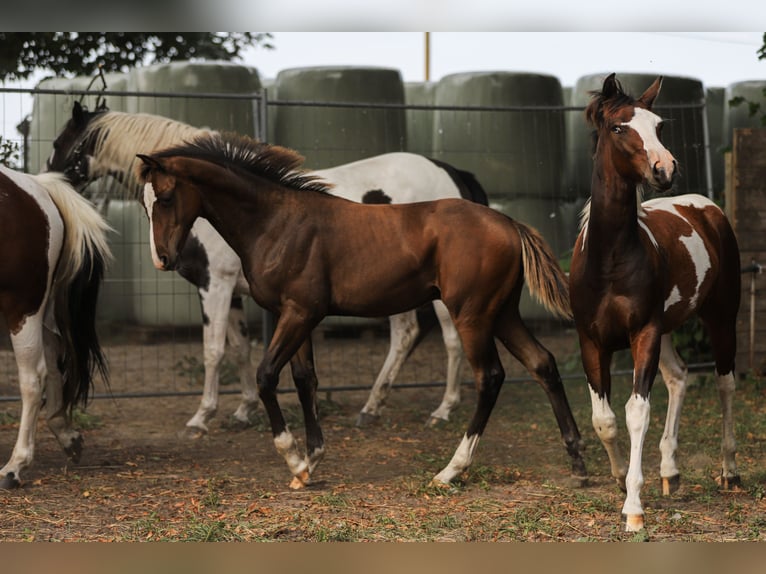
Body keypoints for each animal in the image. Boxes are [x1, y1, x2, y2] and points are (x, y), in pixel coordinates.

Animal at [0, 164, 112, 488]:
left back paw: (14, 466)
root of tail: (36, 186)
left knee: (33, 378)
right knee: (52, 359)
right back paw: (66, 434)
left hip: (23, 307)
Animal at [135, 134, 588, 490]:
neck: (276, 222)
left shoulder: (298, 313)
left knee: (489, 376)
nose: (163, 259)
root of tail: (511, 224)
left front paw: (293, 458)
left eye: (168, 197)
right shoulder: (295, 314)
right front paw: (311, 461)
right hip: (503, 313)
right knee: (542, 363)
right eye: (144, 204)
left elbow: (266, 376)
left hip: (472, 315)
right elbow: (305, 379)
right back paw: (578, 462)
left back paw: (451, 468)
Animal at [568, 74, 744, 532]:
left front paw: (633, 507)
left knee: (725, 383)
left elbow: (636, 413)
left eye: (659, 125)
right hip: (666, 331)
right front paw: (617, 479)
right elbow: (605, 420)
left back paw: (729, 471)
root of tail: (707, 208)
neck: (609, 259)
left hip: (721, 318)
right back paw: (670, 472)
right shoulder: (591, 341)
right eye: (617, 127)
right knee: (679, 378)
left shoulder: (642, 333)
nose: (665, 169)